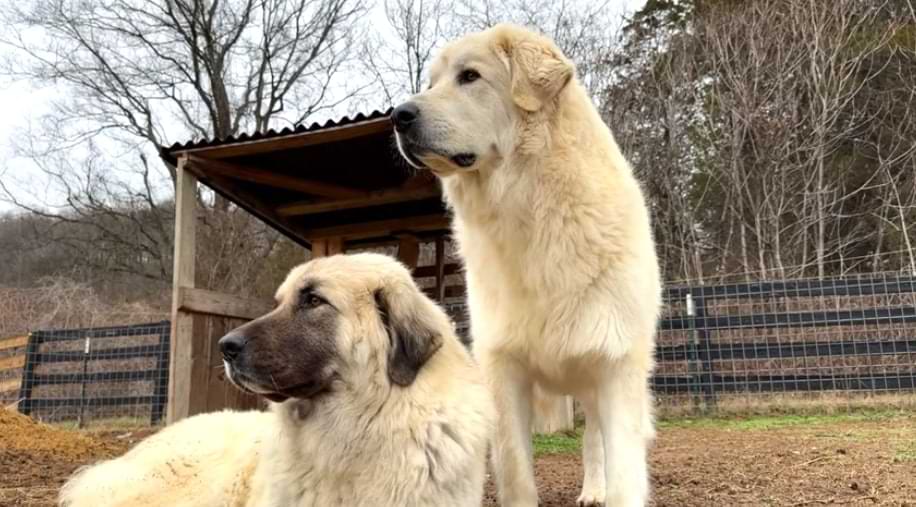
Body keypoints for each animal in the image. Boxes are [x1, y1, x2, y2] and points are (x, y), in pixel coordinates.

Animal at [390, 22, 660, 507]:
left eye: (470, 76)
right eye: (431, 83)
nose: (398, 115)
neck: (534, 212)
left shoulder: (615, 366)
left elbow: (624, 473)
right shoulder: (504, 369)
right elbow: (515, 472)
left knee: (593, 440)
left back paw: (594, 490)